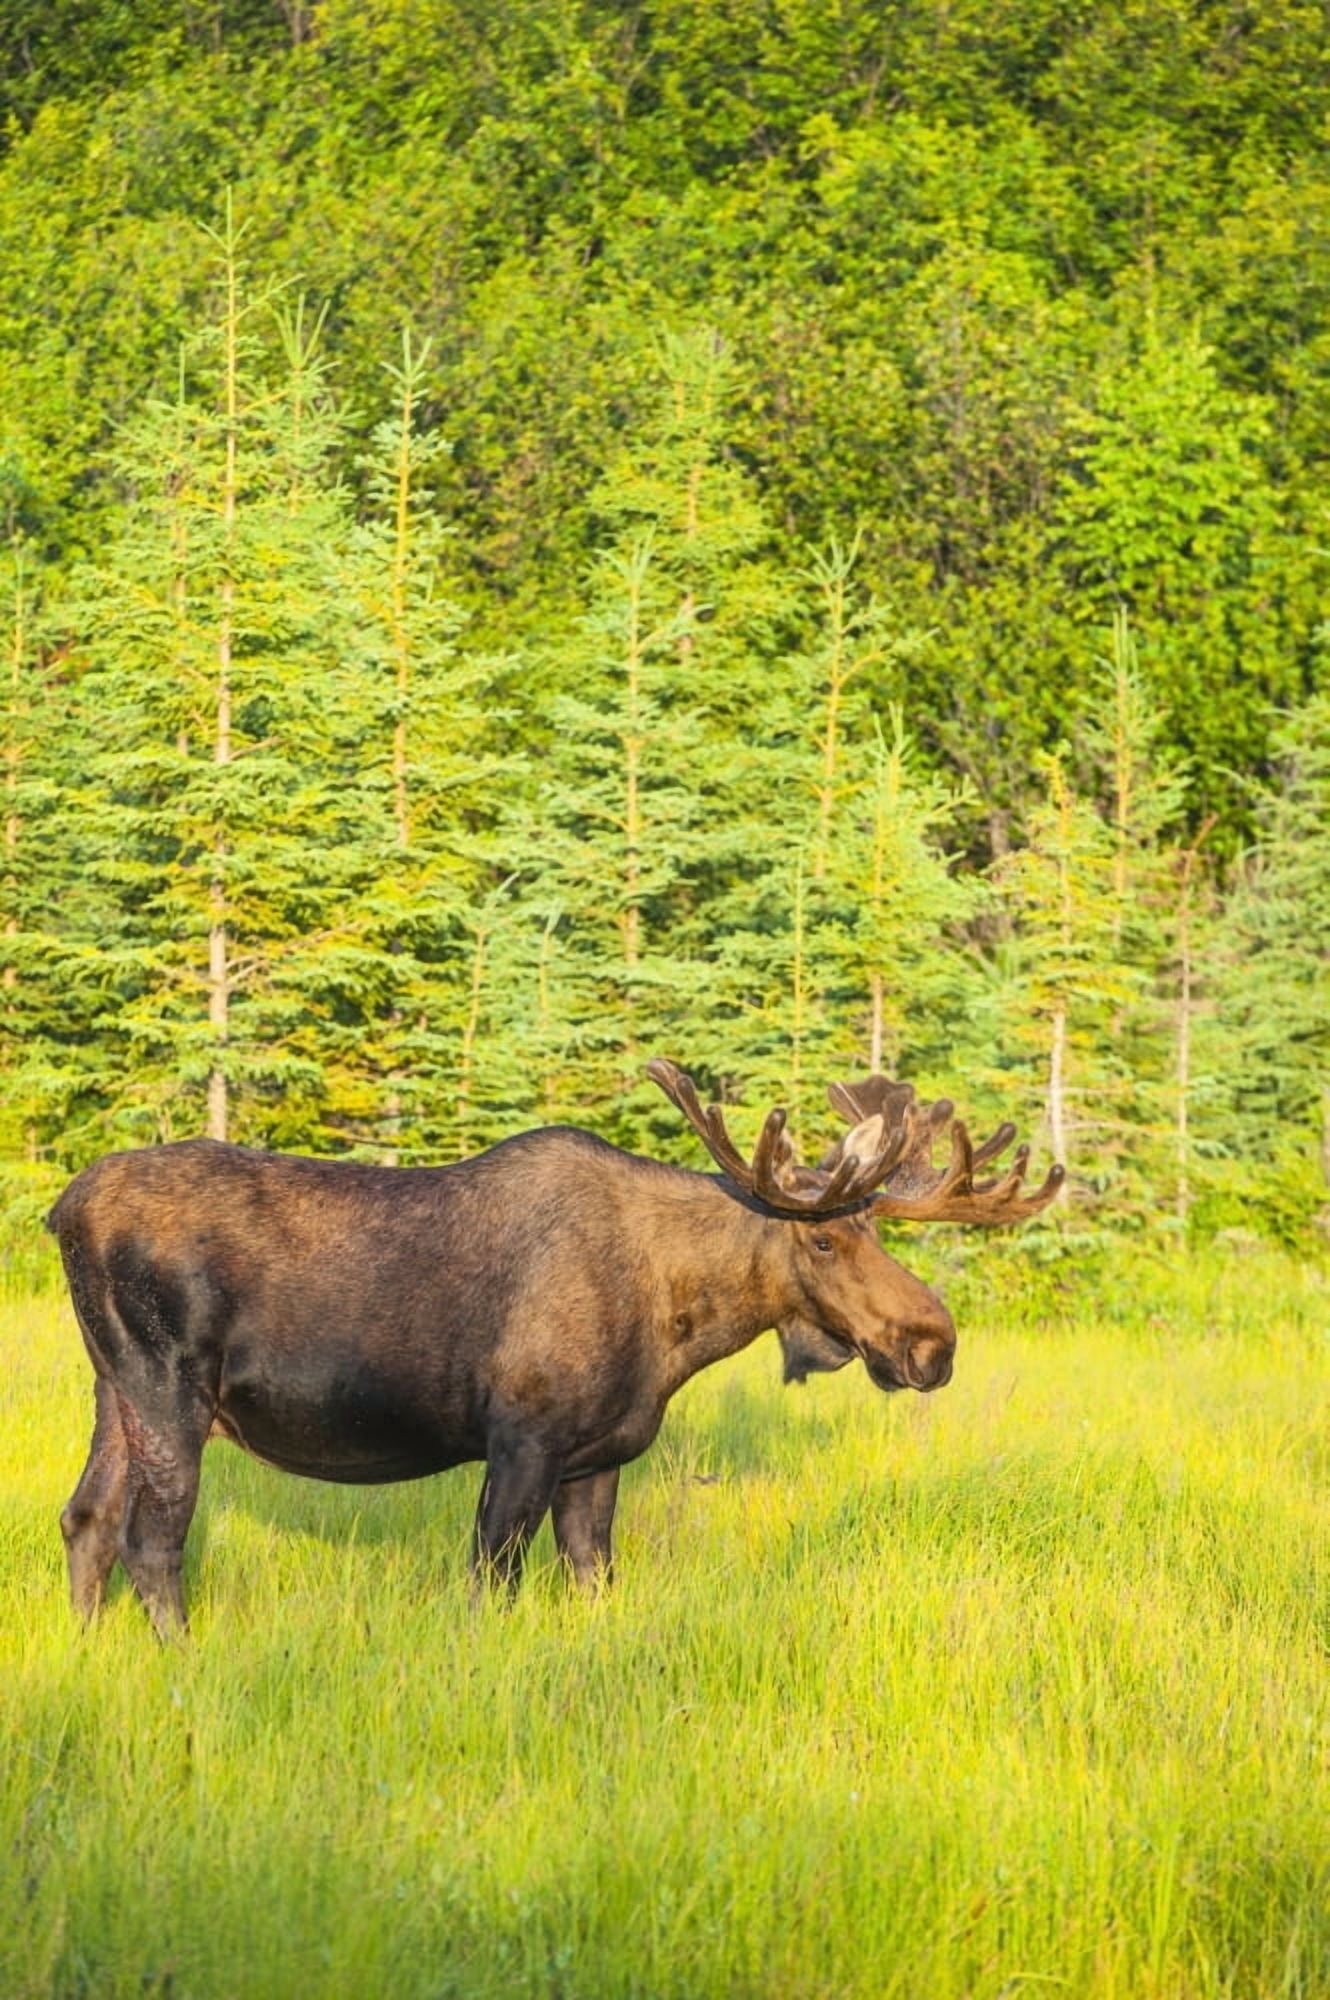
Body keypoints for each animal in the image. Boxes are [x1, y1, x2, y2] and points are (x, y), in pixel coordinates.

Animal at [48, 1058, 1062, 1634]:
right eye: (823, 1240)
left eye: (878, 1231)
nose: (932, 1343)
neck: (677, 1322)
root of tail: (60, 1211)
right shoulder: (522, 1439)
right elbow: (490, 1587)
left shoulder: (597, 1455)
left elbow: (592, 1581)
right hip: (168, 1389)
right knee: (151, 1541)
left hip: (111, 1392)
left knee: (86, 1519)